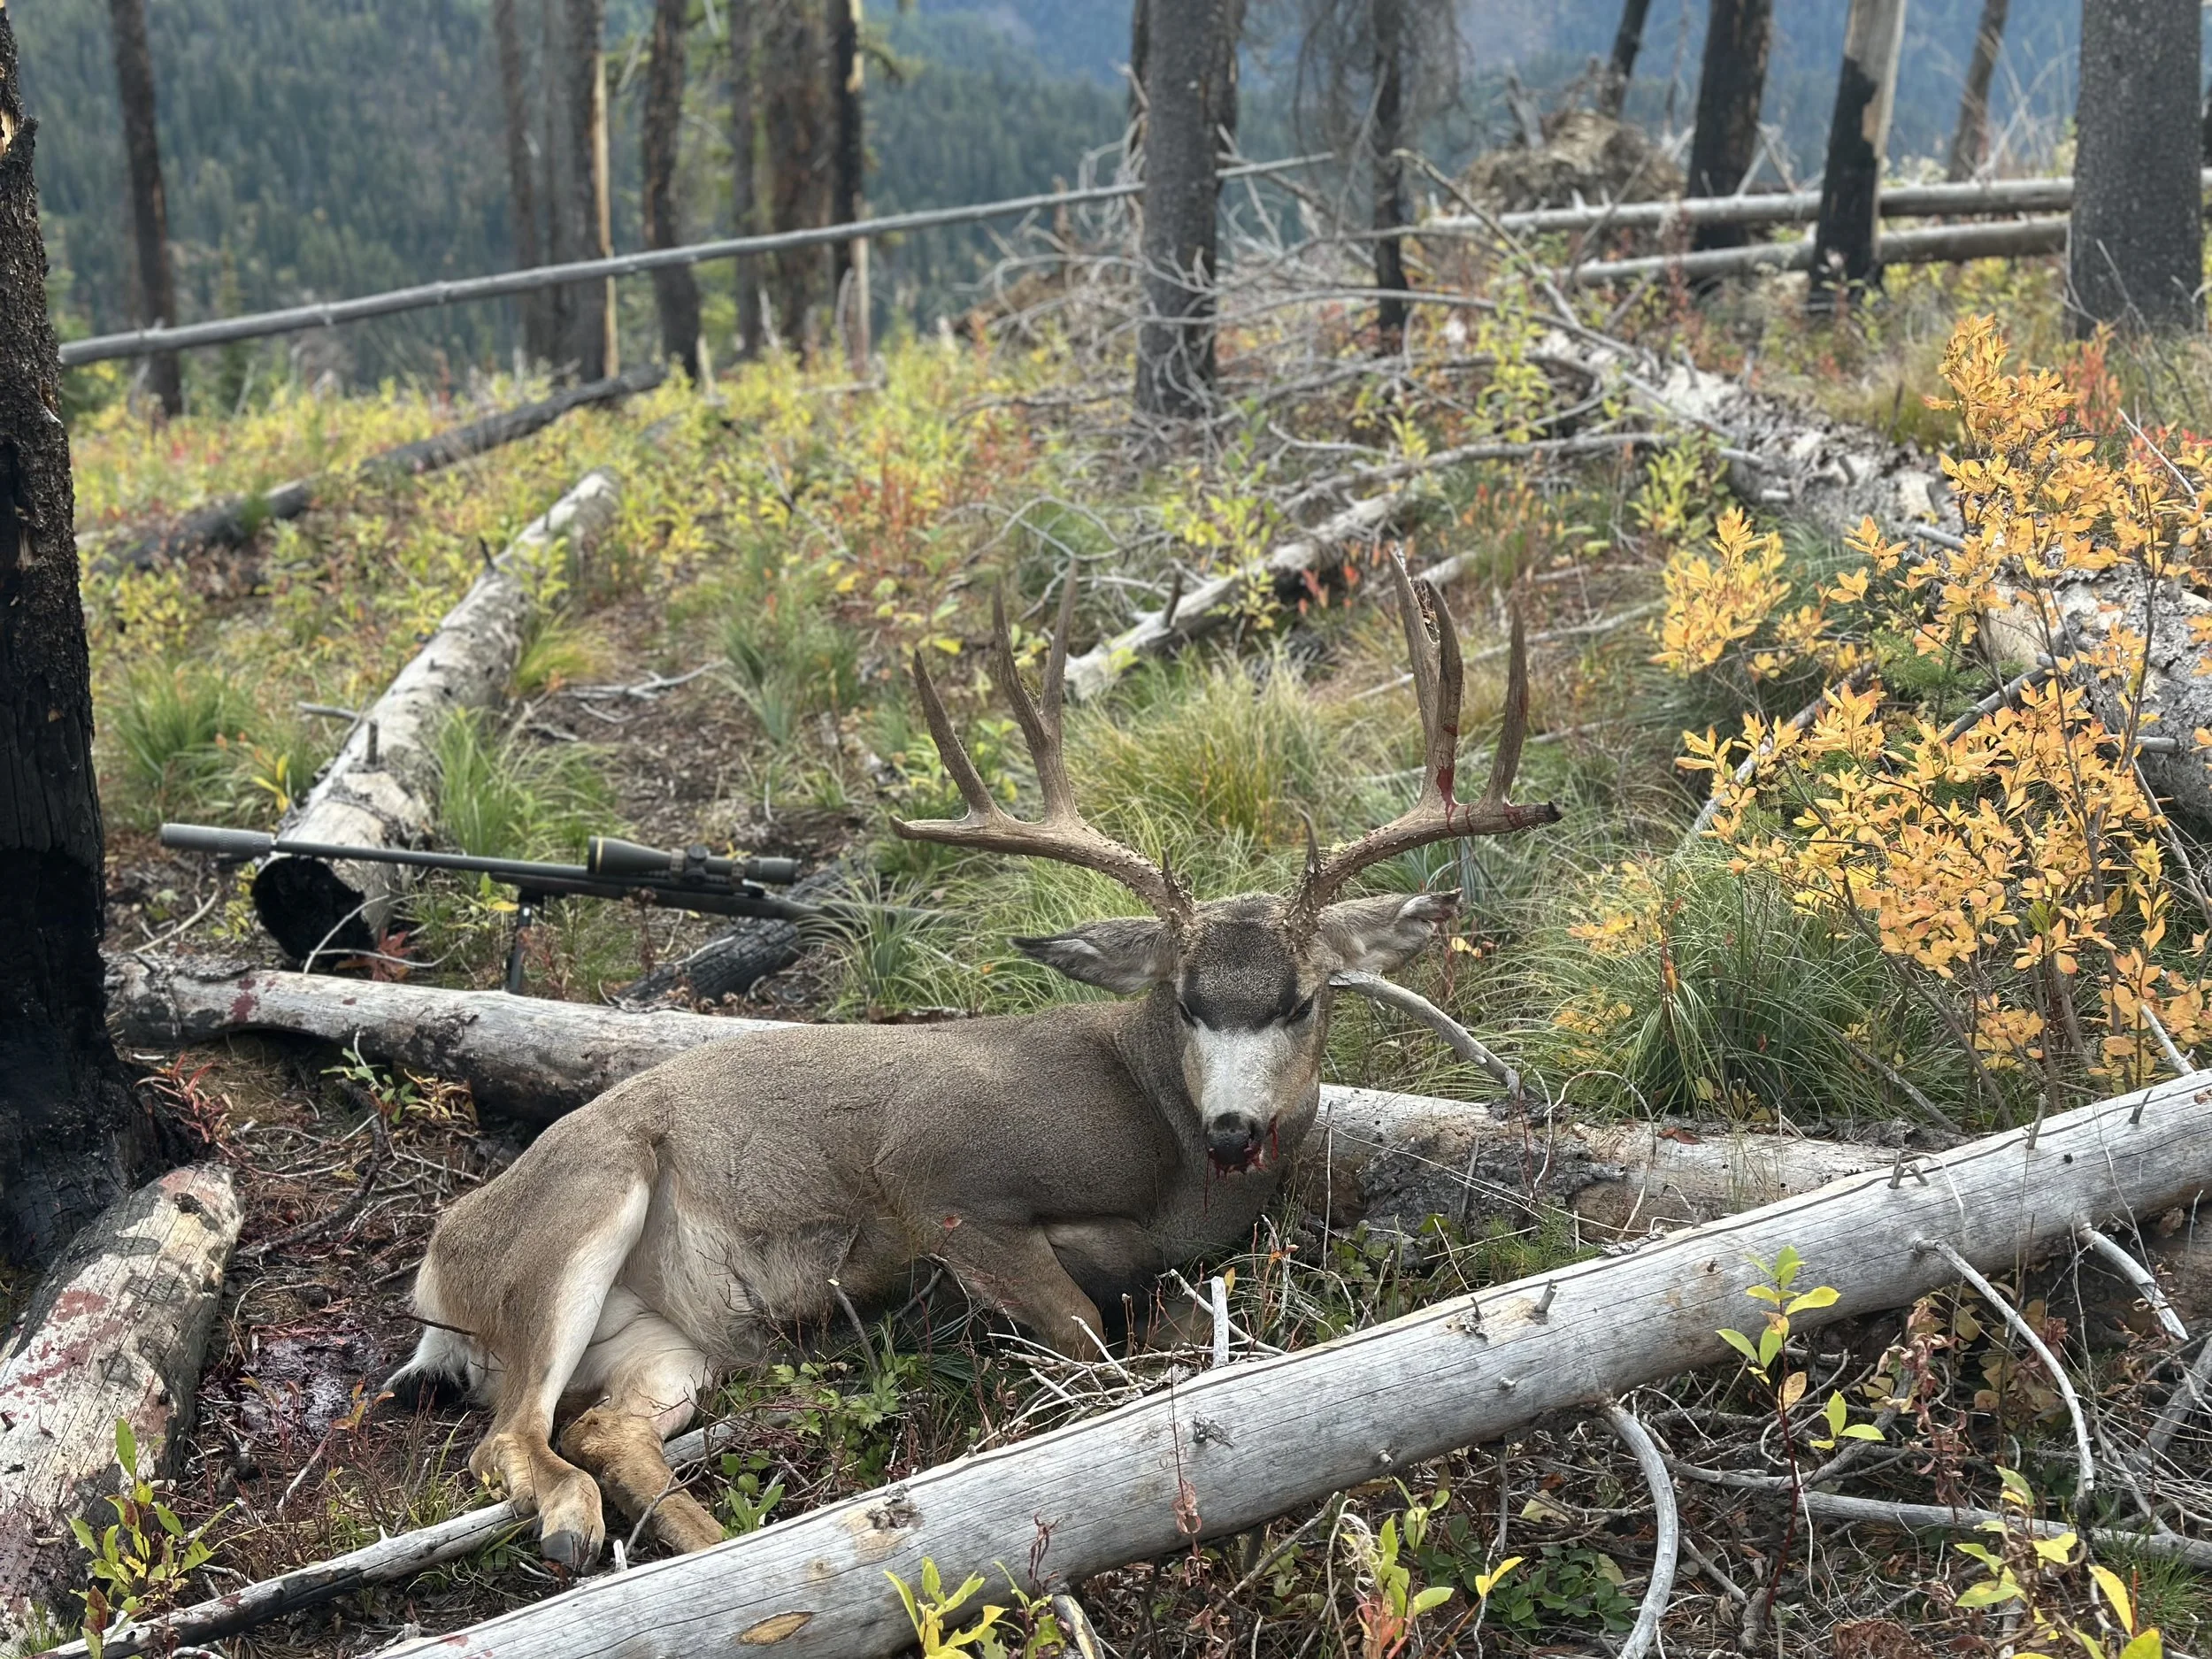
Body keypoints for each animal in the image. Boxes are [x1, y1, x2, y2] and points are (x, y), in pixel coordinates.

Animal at [387, 554, 1559, 1570]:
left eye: (1304, 999)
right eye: (1183, 1000)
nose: (1234, 1128)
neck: (1163, 1149)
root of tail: (440, 1257)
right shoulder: (939, 1176)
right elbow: (1087, 1339)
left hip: (665, 1340)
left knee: (605, 1432)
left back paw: (727, 1551)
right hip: (581, 1205)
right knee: (507, 1439)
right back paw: (580, 1529)